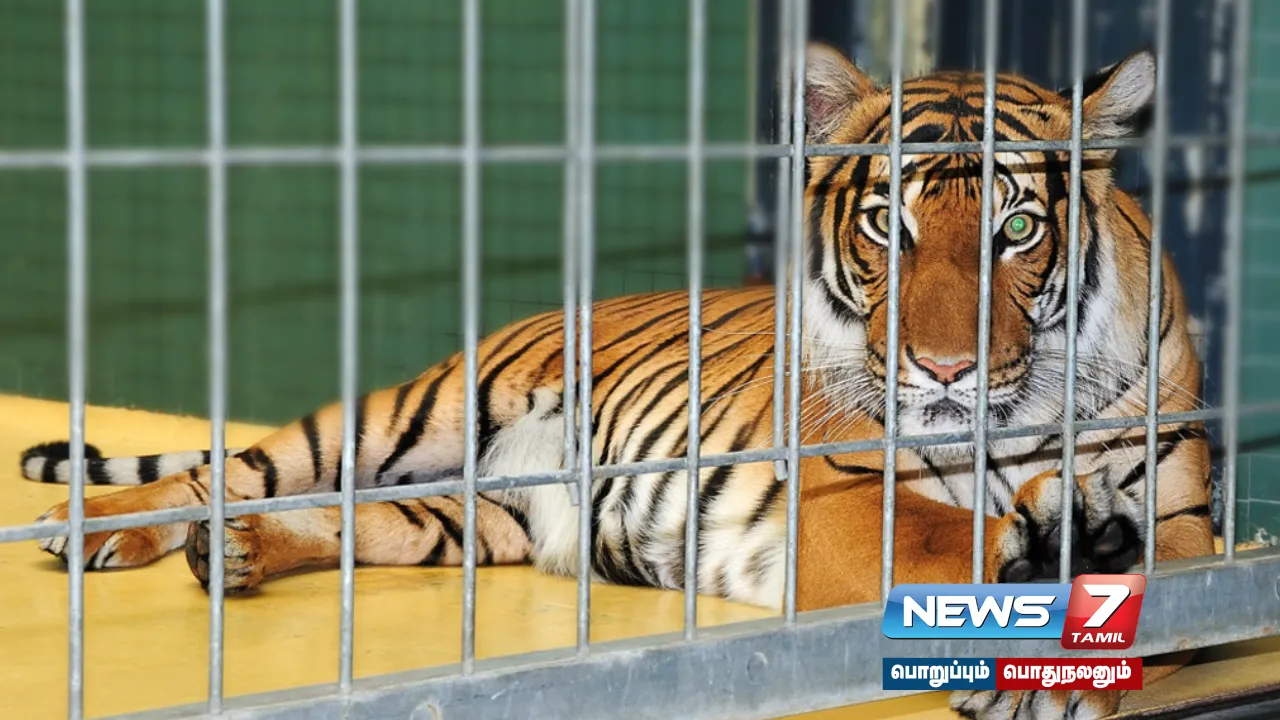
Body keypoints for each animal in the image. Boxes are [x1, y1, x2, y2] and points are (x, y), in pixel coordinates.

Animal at [21, 44, 1212, 719]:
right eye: (890, 226)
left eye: (1017, 230)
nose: (944, 366)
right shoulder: (842, 502)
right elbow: (947, 541)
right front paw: (1036, 568)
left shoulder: (1186, 516)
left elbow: (1177, 588)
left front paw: (1078, 592)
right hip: (404, 417)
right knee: (228, 470)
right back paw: (105, 532)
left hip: (467, 516)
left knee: (349, 522)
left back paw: (236, 553)